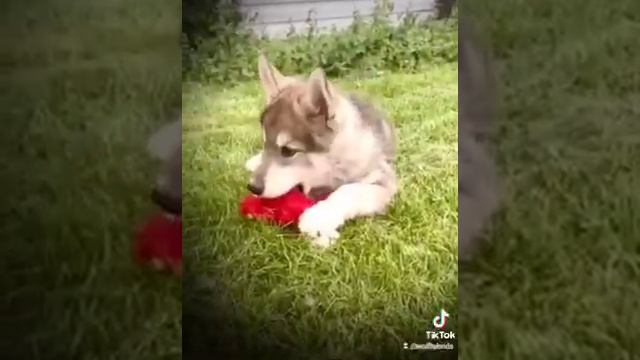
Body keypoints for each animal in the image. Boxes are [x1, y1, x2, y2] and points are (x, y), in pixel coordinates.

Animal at [244, 56, 396, 249]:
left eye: (288, 151)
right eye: (264, 143)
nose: (253, 188)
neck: (332, 165)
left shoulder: (384, 180)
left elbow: (350, 190)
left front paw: (318, 217)